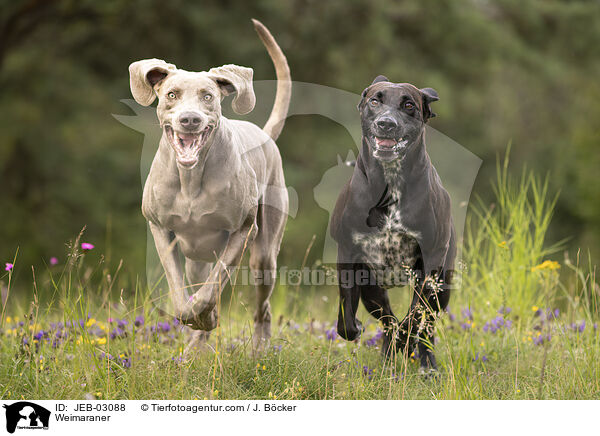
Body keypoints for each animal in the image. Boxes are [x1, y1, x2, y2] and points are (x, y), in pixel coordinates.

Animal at [129, 20, 290, 350]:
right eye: (171, 95)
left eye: (208, 97)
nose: (190, 119)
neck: (191, 180)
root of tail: (264, 134)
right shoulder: (159, 228)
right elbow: (180, 292)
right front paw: (194, 318)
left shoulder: (243, 230)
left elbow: (213, 286)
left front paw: (208, 315)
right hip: (196, 258)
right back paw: (195, 347)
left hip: (265, 256)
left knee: (263, 306)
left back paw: (258, 348)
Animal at [330, 76, 452, 374]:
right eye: (375, 101)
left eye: (408, 105)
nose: (387, 123)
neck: (391, 182)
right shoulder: (349, 255)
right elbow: (346, 317)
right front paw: (356, 327)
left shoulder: (430, 263)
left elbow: (415, 316)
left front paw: (405, 341)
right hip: (372, 287)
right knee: (386, 319)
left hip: (443, 288)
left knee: (426, 325)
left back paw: (426, 363)